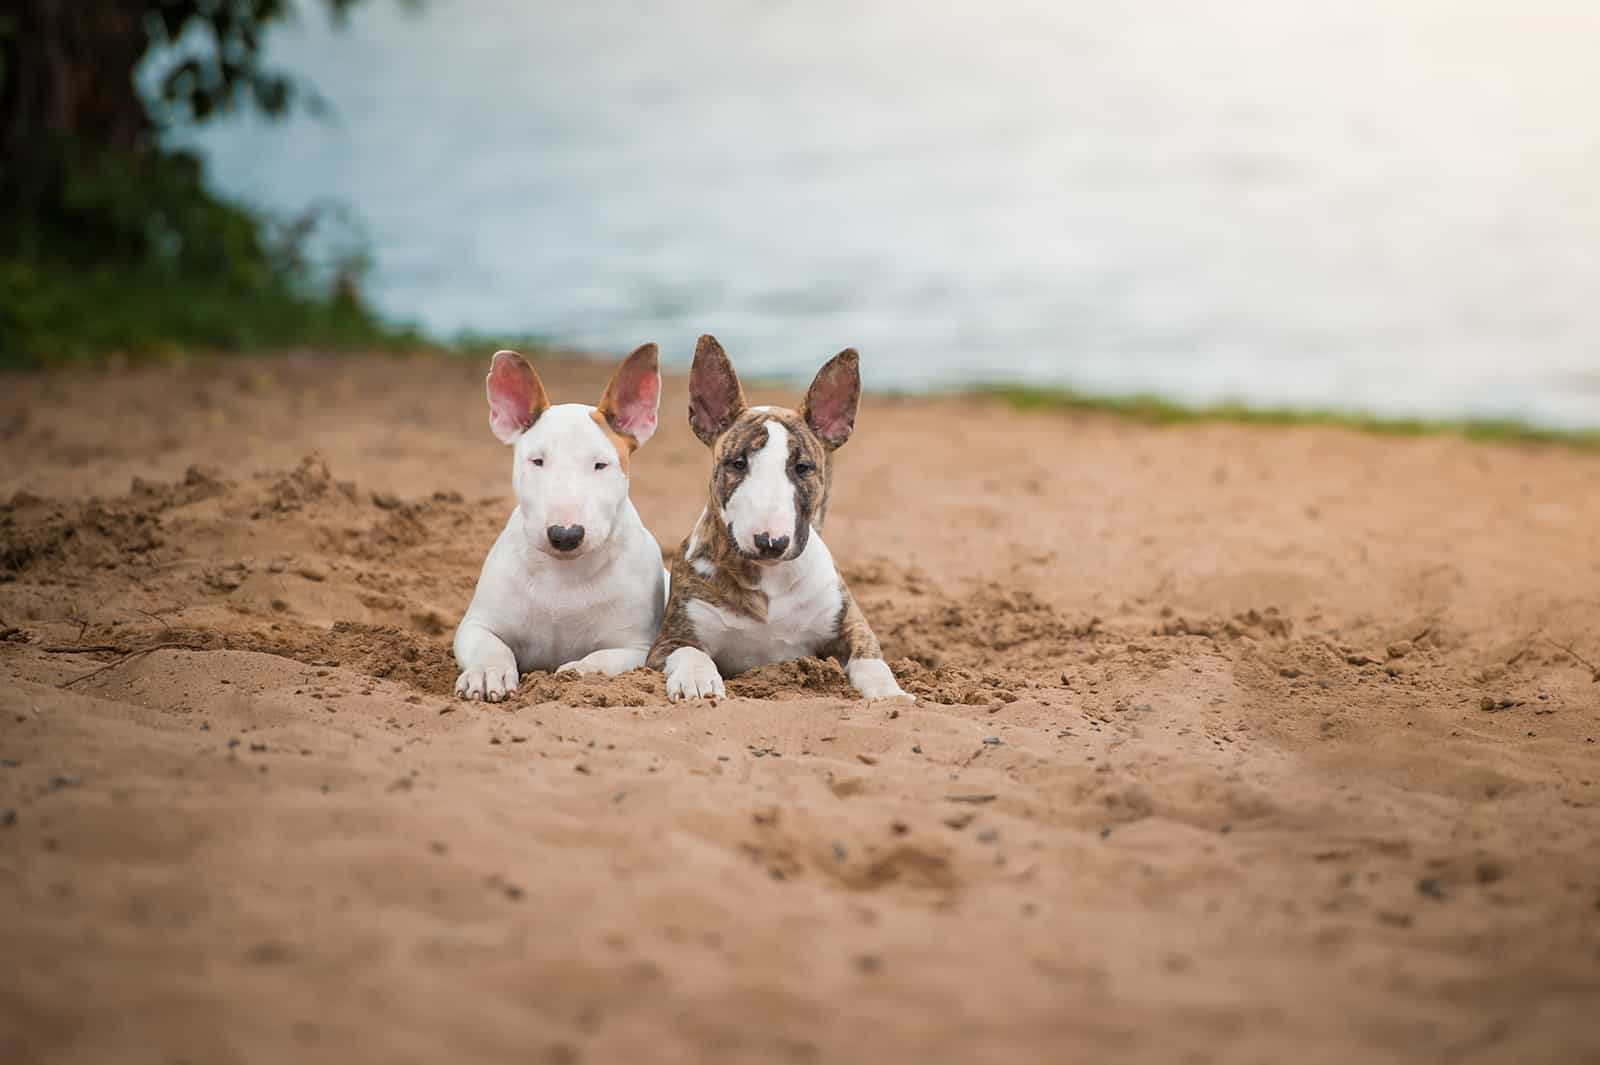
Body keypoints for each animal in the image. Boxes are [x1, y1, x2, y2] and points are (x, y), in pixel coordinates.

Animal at [457, 343, 668, 700]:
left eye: (601, 465)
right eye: (537, 461)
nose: (565, 535)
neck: (563, 576)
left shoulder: (637, 647)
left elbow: (600, 659)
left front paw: (575, 672)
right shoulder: (475, 625)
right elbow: (490, 647)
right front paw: (487, 674)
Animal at [643, 332, 908, 700]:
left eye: (802, 467)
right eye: (737, 463)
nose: (770, 542)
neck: (769, 580)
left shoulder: (850, 623)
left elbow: (870, 656)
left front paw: (888, 692)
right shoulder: (668, 641)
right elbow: (690, 651)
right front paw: (697, 681)